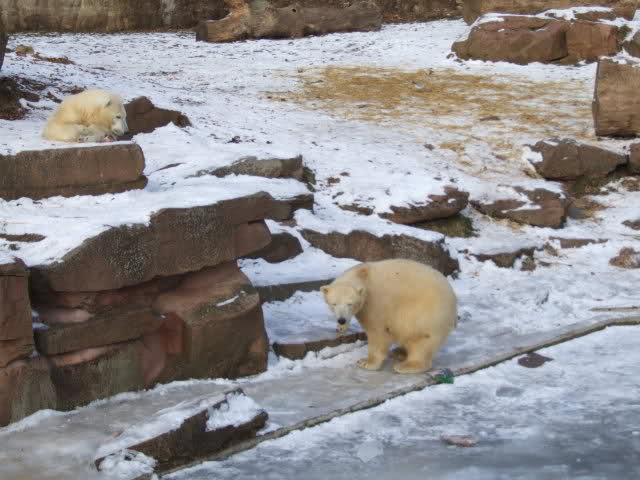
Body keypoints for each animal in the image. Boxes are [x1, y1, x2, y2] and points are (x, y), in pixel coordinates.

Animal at [320, 259, 457, 374]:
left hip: (427, 313)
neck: (363, 275)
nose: (341, 320)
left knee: (420, 338)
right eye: (334, 303)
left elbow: (377, 332)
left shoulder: (376, 303)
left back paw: (406, 365)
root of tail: (453, 300)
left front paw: (367, 362)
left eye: (350, 304)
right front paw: (340, 327)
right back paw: (400, 352)